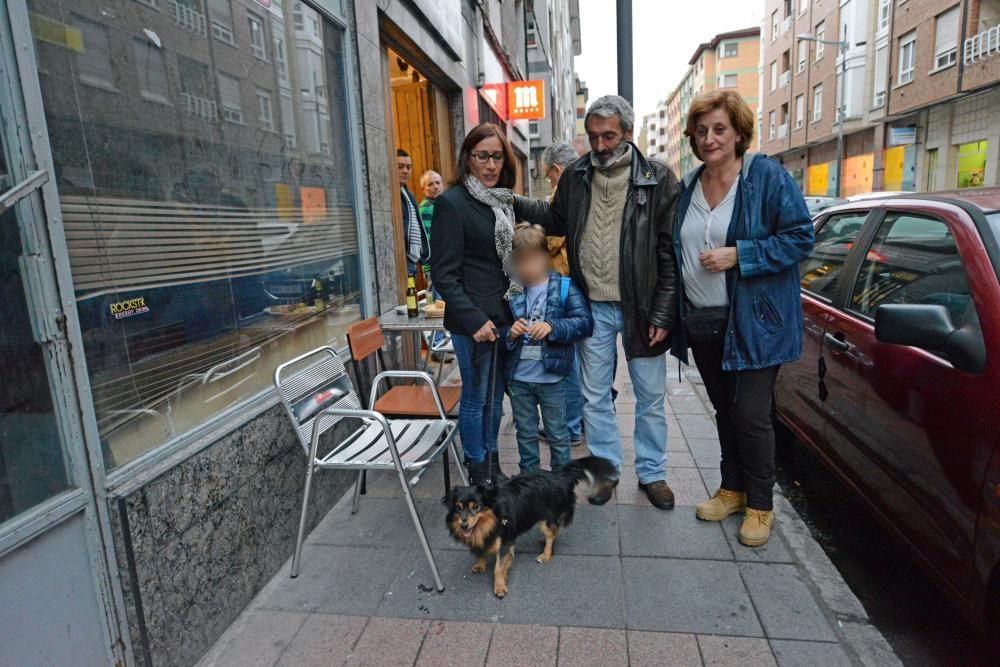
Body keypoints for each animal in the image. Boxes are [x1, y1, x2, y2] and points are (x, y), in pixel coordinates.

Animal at [446, 456, 616, 596]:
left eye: (476, 507)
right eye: (458, 508)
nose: (463, 525)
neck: (490, 519)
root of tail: (560, 475)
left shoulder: (505, 543)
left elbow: (498, 569)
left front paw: (499, 587)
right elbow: (480, 552)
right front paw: (481, 565)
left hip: (548, 519)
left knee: (552, 534)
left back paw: (546, 554)